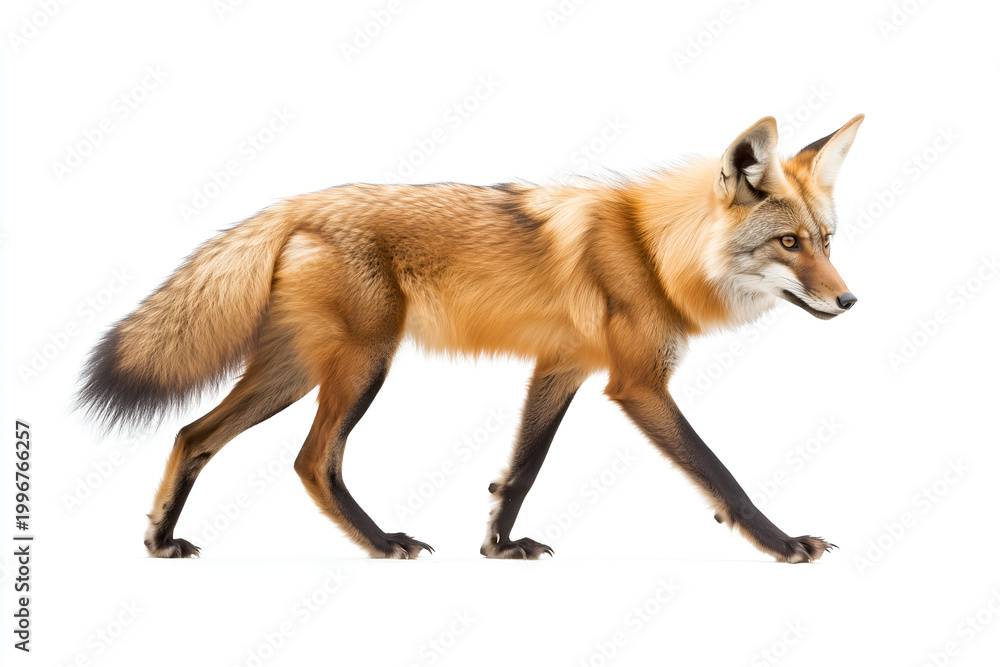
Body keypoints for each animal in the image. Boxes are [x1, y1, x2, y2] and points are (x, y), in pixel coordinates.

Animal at [78, 113, 863, 563]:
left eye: (826, 241)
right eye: (788, 243)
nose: (849, 300)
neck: (650, 251)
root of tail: (297, 203)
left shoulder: (560, 369)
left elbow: (519, 471)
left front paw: (497, 545)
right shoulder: (637, 384)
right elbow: (722, 476)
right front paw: (781, 543)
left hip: (293, 372)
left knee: (193, 434)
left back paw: (158, 540)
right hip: (360, 367)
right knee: (311, 460)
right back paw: (379, 544)